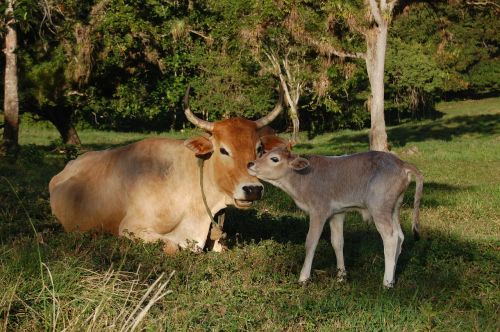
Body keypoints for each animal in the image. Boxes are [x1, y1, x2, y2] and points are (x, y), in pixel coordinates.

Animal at [246, 147, 422, 286]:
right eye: (262, 153)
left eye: (274, 159)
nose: (250, 164)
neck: (300, 181)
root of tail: (401, 163)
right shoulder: (337, 213)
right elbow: (337, 242)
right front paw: (341, 276)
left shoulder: (319, 211)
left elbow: (311, 242)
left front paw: (303, 278)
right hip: (394, 208)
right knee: (400, 236)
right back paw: (393, 277)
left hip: (379, 207)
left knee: (390, 238)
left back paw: (387, 282)